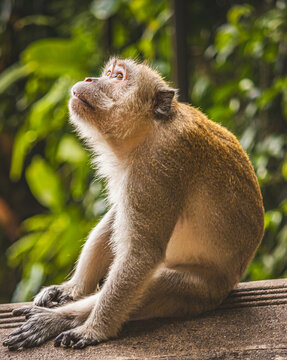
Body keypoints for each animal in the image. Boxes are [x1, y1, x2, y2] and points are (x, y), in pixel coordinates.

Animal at [3, 57, 266, 350]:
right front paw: (73, 289)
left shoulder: (162, 163)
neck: (148, 130)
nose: (90, 79)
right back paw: (71, 295)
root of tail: (233, 280)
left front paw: (94, 330)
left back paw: (59, 319)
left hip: (204, 291)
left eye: (118, 77)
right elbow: (118, 217)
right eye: (108, 73)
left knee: (159, 283)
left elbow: (141, 254)